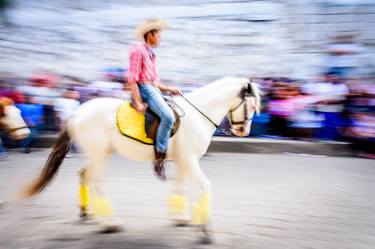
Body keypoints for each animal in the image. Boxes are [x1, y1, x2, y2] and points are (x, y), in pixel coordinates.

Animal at [20, 77, 262, 241]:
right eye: (251, 105)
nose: (243, 131)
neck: (196, 116)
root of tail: (76, 113)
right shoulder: (190, 160)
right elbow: (205, 185)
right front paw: (205, 229)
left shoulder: (184, 161)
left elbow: (181, 187)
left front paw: (181, 218)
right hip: (100, 154)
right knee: (94, 180)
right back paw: (110, 221)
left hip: (97, 154)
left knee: (84, 176)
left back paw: (88, 213)